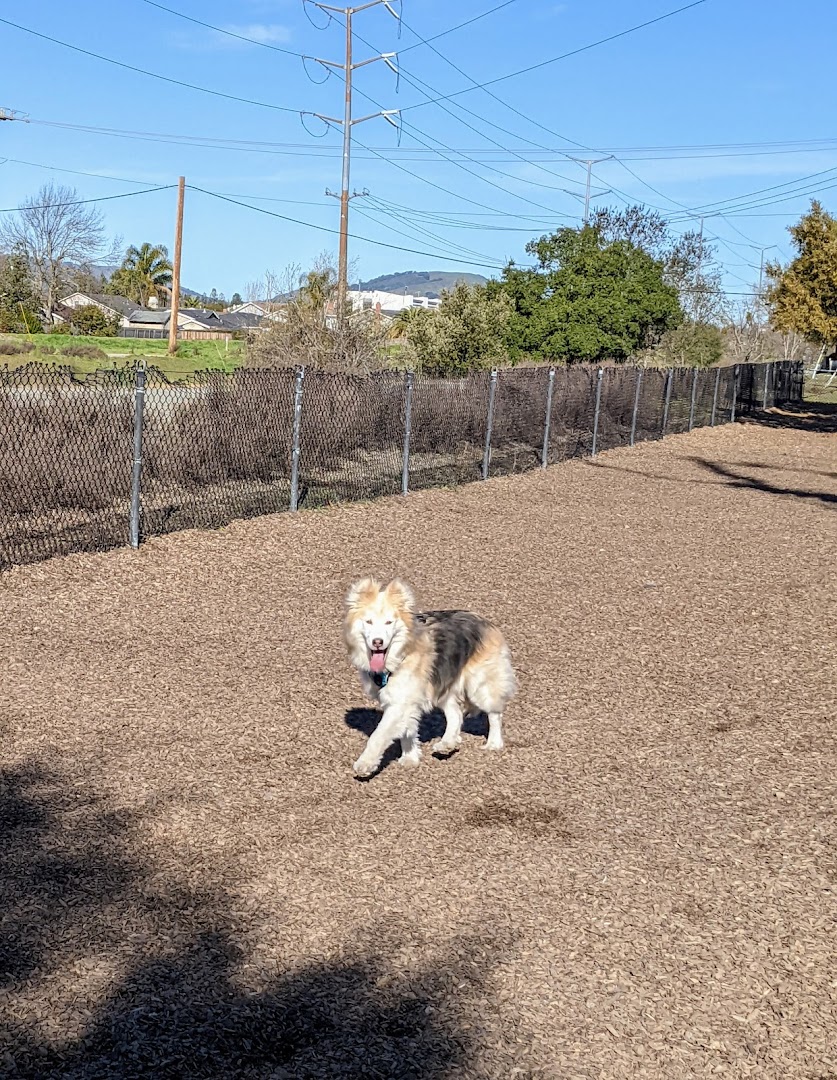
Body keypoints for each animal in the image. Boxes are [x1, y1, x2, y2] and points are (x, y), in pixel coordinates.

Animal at [341, 578, 514, 781]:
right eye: (368, 621)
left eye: (389, 622)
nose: (378, 642)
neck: (399, 656)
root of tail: (485, 621)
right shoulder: (403, 700)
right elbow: (408, 730)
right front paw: (410, 757)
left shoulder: (400, 702)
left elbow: (379, 734)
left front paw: (366, 763)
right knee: (455, 714)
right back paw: (447, 743)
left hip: (480, 685)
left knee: (494, 714)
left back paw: (493, 743)